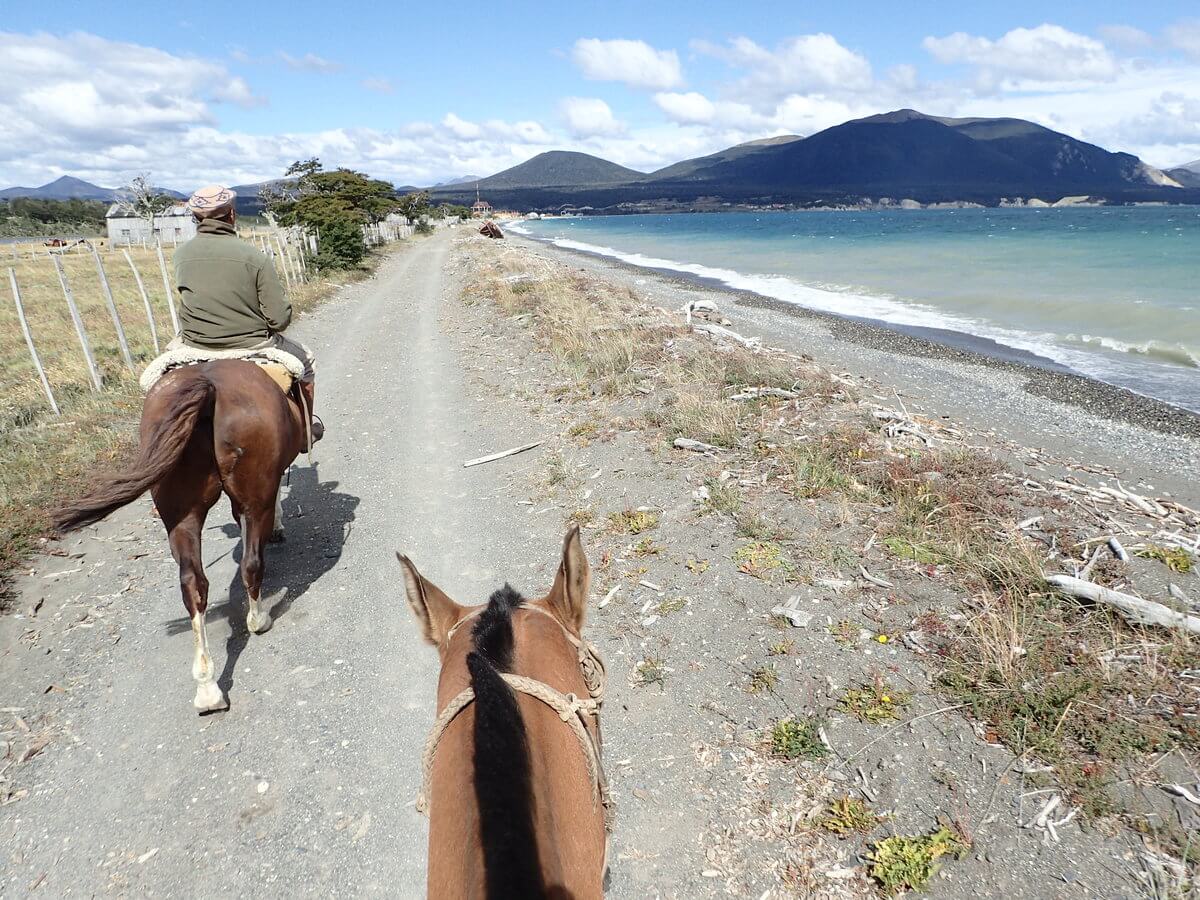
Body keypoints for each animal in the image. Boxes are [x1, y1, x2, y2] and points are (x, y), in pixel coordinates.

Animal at [54, 360, 307, 710]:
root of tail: (208, 387)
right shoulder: (260, 495)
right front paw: (279, 528)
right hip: (254, 498)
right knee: (251, 564)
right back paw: (258, 621)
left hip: (180, 515)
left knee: (193, 584)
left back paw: (207, 688)